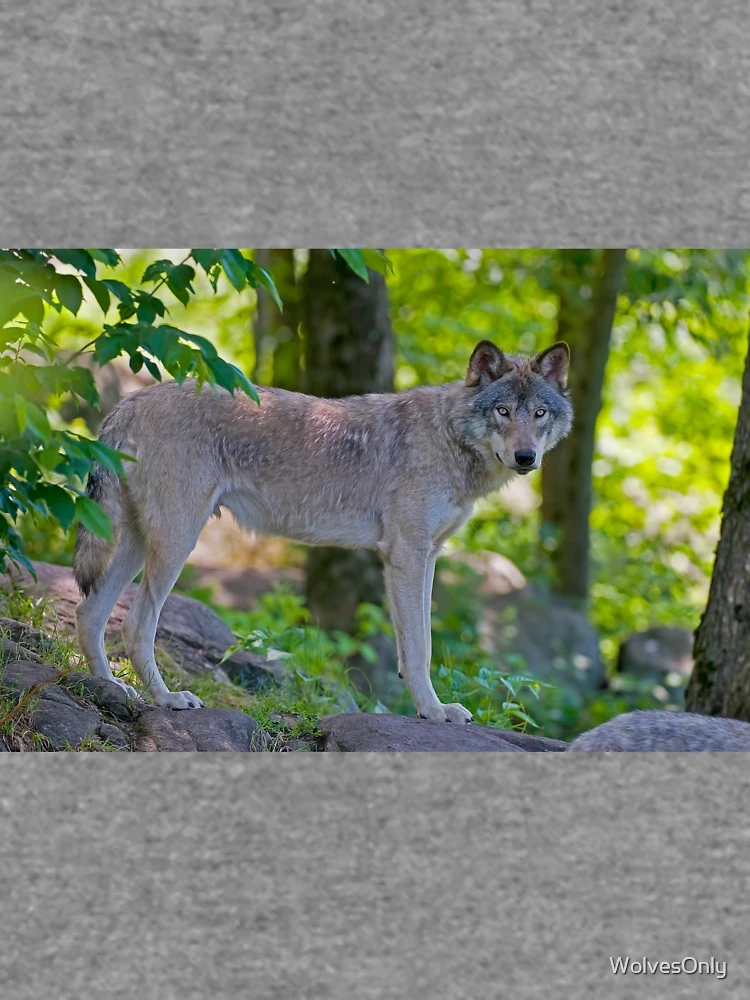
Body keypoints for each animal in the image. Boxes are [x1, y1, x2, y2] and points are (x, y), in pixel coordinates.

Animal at [74, 339, 572, 720]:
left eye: (540, 413)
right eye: (503, 411)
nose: (526, 457)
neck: (448, 437)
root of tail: (131, 401)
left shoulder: (427, 556)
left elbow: (419, 645)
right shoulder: (406, 554)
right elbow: (418, 650)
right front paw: (433, 712)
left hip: (138, 543)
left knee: (90, 612)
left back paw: (112, 690)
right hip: (177, 542)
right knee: (136, 623)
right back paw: (166, 699)